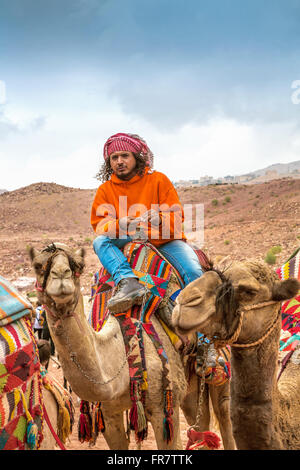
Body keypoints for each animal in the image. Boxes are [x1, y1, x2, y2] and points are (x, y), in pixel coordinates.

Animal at [27, 244, 234, 450]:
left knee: (223, 413)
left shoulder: (166, 408)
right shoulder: (108, 415)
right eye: (37, 266)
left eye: (79, 266)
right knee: (200, 422)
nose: (61, 275)